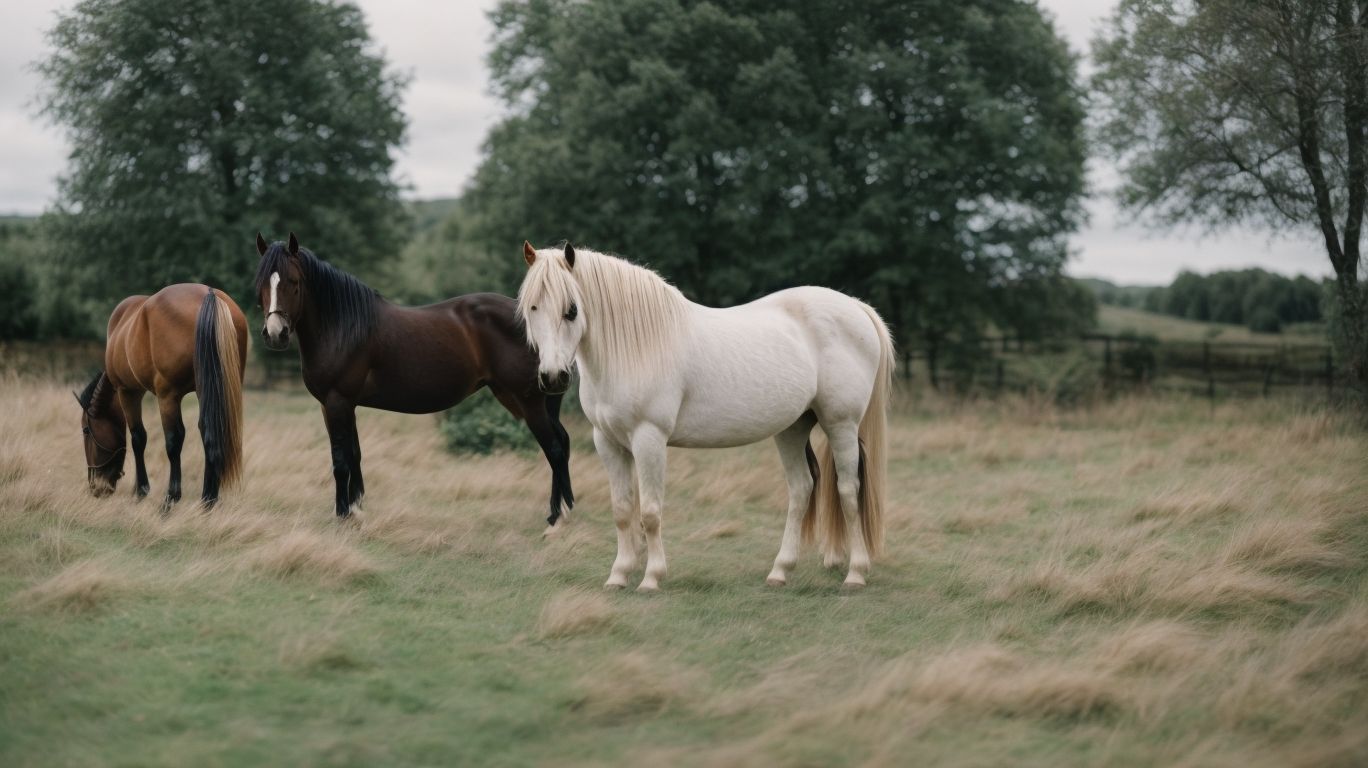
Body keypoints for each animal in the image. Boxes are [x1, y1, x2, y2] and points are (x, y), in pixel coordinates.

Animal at [76, 284, 247, 508]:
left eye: (86, 430)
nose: (95, 487)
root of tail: (209, 294)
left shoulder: (127, 391)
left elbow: (138, 438)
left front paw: (141, 491)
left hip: (168, 397)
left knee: (174, 440)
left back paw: (171, 499)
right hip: (211, 390)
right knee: (209, 431)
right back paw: (208, 501)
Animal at [252, 233, 575, 524]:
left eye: (293, 282)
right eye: (262, 284)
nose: (275, 334)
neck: (343, 326)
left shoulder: (337, 401)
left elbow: (340, 461)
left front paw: (343, 514)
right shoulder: (339, 405)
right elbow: (354, 454)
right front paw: (356, 508)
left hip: (530, 403)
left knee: (555, 449)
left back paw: (555, 516)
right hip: (541, 401)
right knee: (563, 442)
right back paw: (566, 506)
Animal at [517, 241, 892, 591]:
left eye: (571, 310)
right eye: (532, 307)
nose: (553, 377)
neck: (636, 348)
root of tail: (856, 307)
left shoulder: (649, 438)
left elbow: (650, 512)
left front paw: (651, 578)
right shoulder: (607, 442)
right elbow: (623, 511)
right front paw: (618, 575)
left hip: (841, 425)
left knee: (848, 491)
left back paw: (856, 574)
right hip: (792, 429)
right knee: (802, 489)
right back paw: (780, 572)